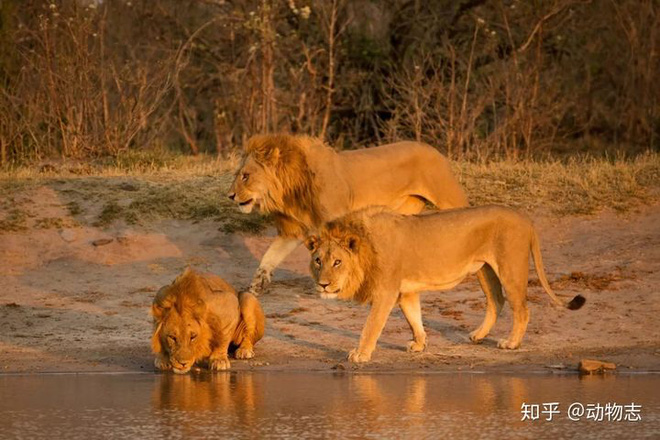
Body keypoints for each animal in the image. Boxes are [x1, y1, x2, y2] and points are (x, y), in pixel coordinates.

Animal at [228, 132, 470, 294]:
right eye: (238, 174)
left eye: (245, 176)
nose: (230, 196)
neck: (292, 190)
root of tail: (434, 149)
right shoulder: (295, 230)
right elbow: (270, 256)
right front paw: (257, 284)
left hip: (448, 197)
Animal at [302, 206, 584, 364]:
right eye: (318, 260)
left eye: (337, 262)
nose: (323, 285)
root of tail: (527, 219)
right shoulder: (406, 291)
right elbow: (414, 318)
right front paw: (419, 345)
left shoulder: (386, 291)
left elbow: (371, 327)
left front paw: (360, 355)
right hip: (484, 269)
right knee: (497, 300)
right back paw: (478, 336)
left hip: (510, 268)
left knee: (522, 308)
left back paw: (511, 343)